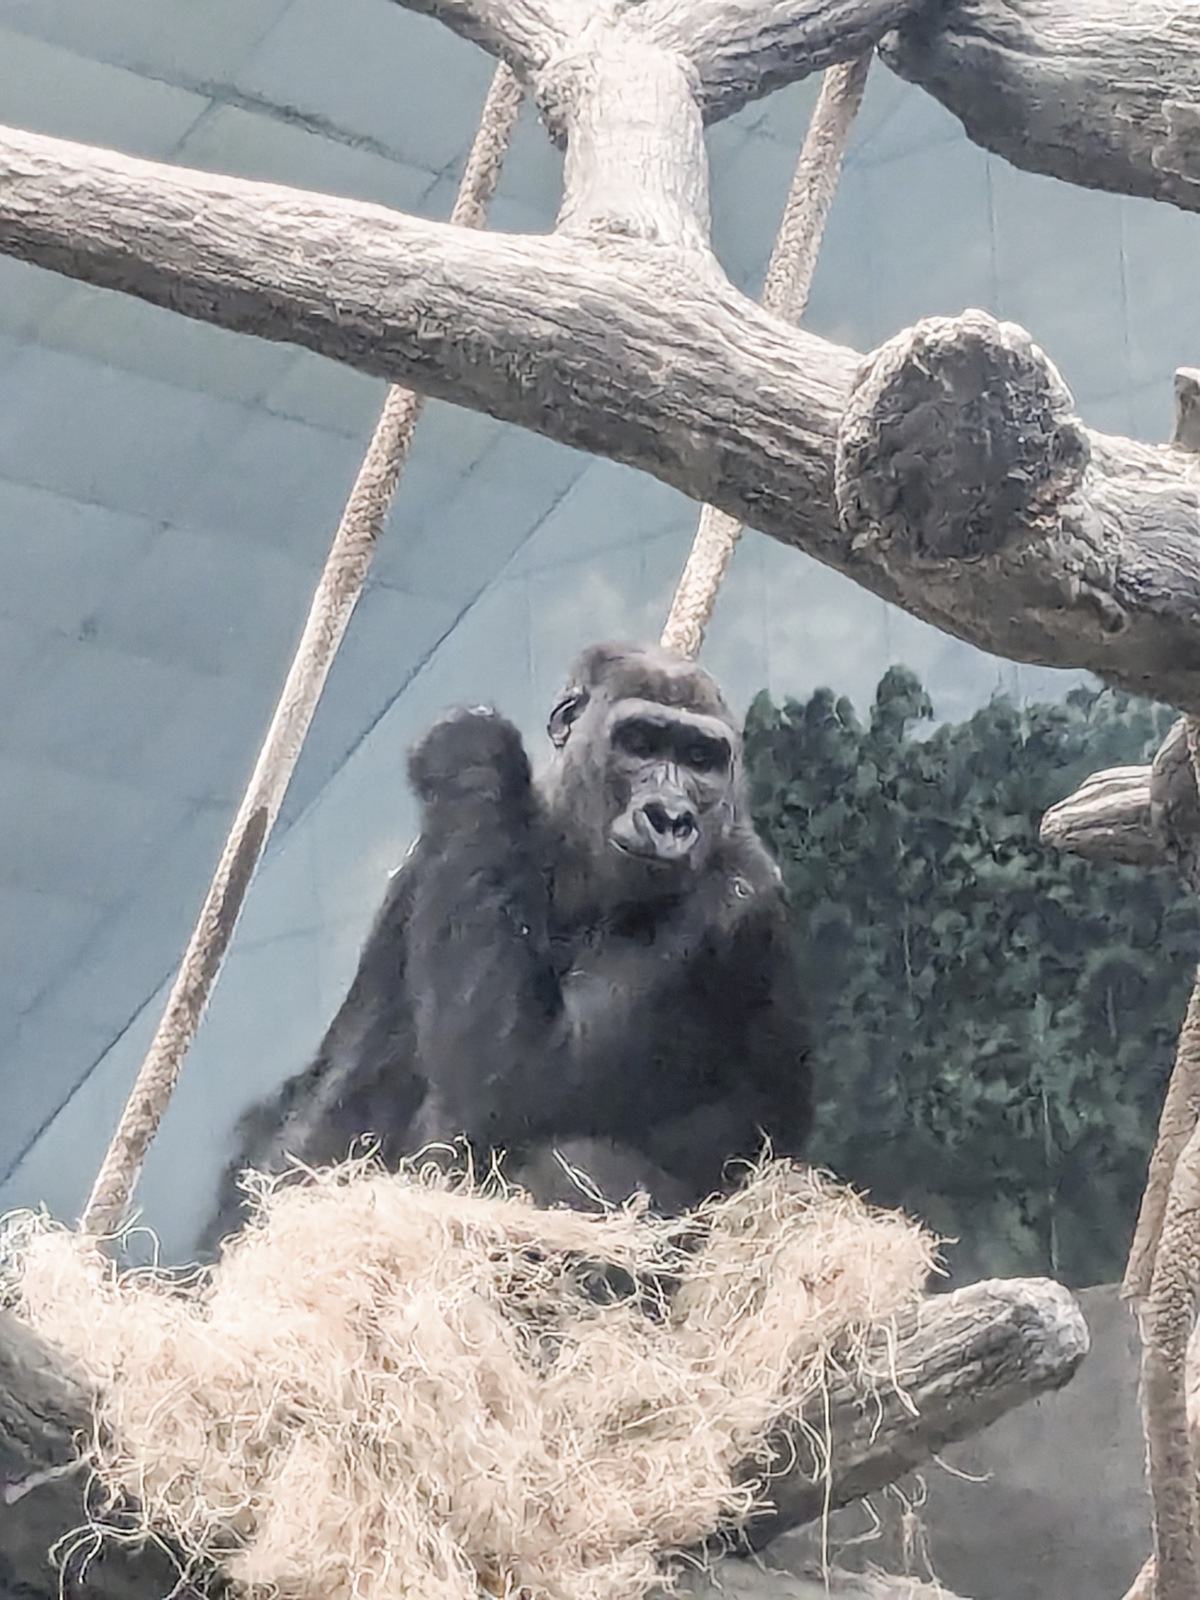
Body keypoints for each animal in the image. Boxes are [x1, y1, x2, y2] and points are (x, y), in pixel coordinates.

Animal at [200, 643, 819, 1254]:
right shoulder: (419, 869)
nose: (669, 817)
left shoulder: (736, 901)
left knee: (577, 1164)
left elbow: (519, 1081)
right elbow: (343, 1097)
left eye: (699, 759)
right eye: (640, 743)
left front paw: (472, 752)